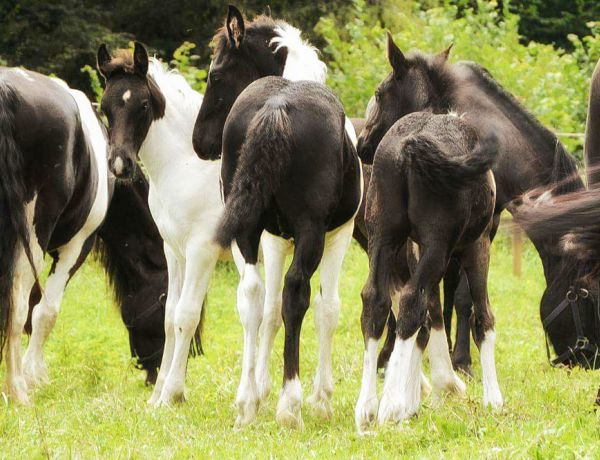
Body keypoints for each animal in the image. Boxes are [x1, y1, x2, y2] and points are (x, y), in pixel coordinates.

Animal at [96, 41, 239, 404]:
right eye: (105, 107)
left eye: (144, 105)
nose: (119, 165)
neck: (186, 165)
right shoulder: (174, 251)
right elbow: (170, 315)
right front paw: (158, 397)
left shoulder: (202, 251)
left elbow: (187, 315)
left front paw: (173, 394)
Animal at [356, 35, 592, 374]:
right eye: (586, 293)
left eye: (378, 94)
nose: (588, 358)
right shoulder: (478, 233)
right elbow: (460, 295)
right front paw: (459, 358)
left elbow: (447, 293)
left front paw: (448, 350)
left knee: (381, 294)